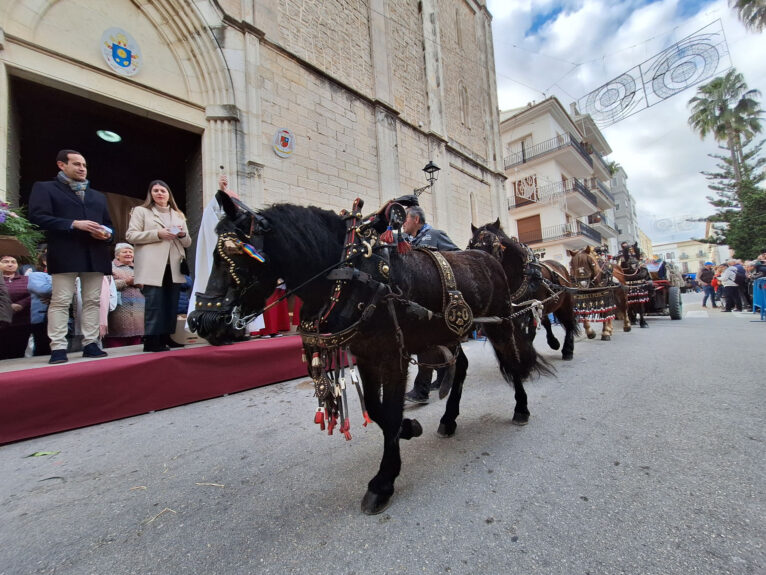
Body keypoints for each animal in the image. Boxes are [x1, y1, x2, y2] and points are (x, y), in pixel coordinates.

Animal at [192, 192, 552, 512]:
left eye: (234, 255)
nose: (202, 320)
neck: (353, 275)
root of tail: (488, 259)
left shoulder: (394, 356)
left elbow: (389, 412)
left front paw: (383, 481)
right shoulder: (365, 354)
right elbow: (378, 411)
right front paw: (409, 428)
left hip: (499, 324)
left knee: (513, 361)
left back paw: (521, 408)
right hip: (448, 333)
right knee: (461, 367)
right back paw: (449, 419)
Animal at [468, 220, 584, 360]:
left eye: (494, 244)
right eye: (471, 245)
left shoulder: (531, 309)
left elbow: (530, 333)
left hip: (564, 303)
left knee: (569, 323)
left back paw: (567, 349)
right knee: (546, 322)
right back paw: (553, 342)